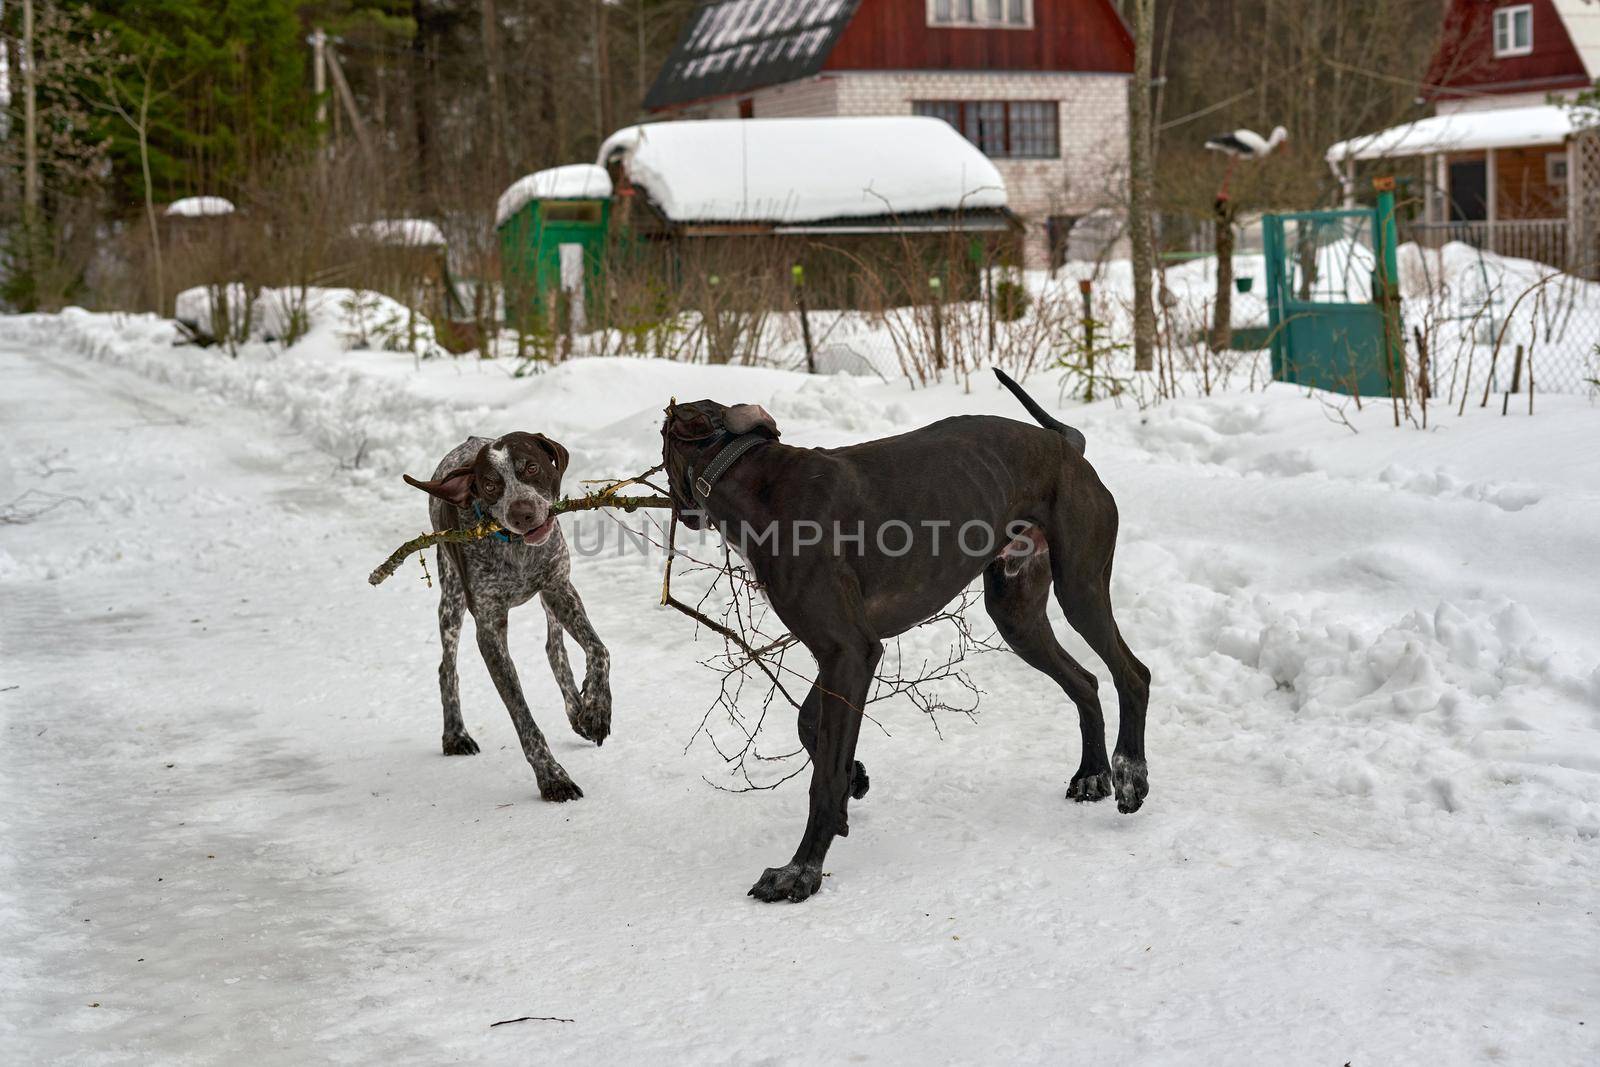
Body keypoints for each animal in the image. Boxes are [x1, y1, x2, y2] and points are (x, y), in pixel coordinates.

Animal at [406, 435, 611, 799]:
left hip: (551, 595)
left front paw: (597, 709)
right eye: (489, 485)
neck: (516, 550)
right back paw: (455, 734)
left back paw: (578, 710)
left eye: (530, 468)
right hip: (452, 599)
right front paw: (552, 777)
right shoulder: (489, 630)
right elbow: (522, 716)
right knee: (447, 668)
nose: (523, 513)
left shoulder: (559, 588)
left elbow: (598, 650)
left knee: (554, 648)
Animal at [662, 374, 1152, 902]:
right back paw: (1092, 775)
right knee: (1085, 682)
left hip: (1080, 587)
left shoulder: (848, 650)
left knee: (1133, 675)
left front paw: (801, 871)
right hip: (1017, 616)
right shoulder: (850, 653)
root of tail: (1068, 445)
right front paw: (855, 780)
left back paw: (1130, 774)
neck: (752, 476)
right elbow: (811, 725)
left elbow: (823, 776)